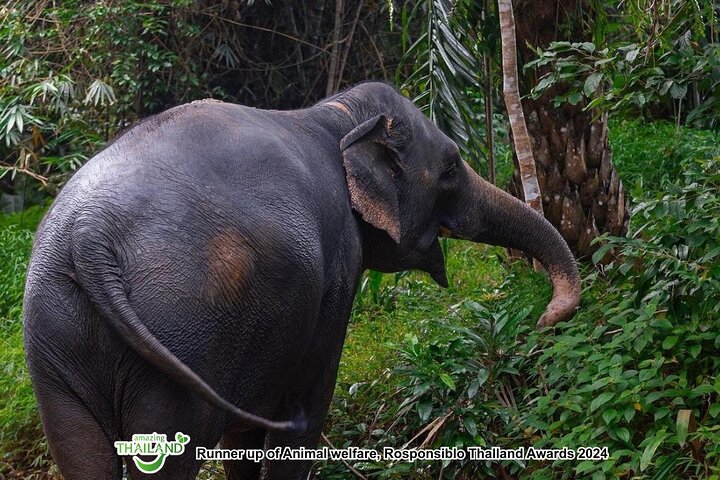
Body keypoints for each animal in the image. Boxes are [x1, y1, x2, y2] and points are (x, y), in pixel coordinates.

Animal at [23, 82, 580, 480]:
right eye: (449, 169)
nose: (545, 318)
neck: (334, 114)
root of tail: (89, 235)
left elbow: (245, 438)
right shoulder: (335, 268)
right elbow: (307, 408)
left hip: (58, 337)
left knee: (81, 453)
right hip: (182, 331)